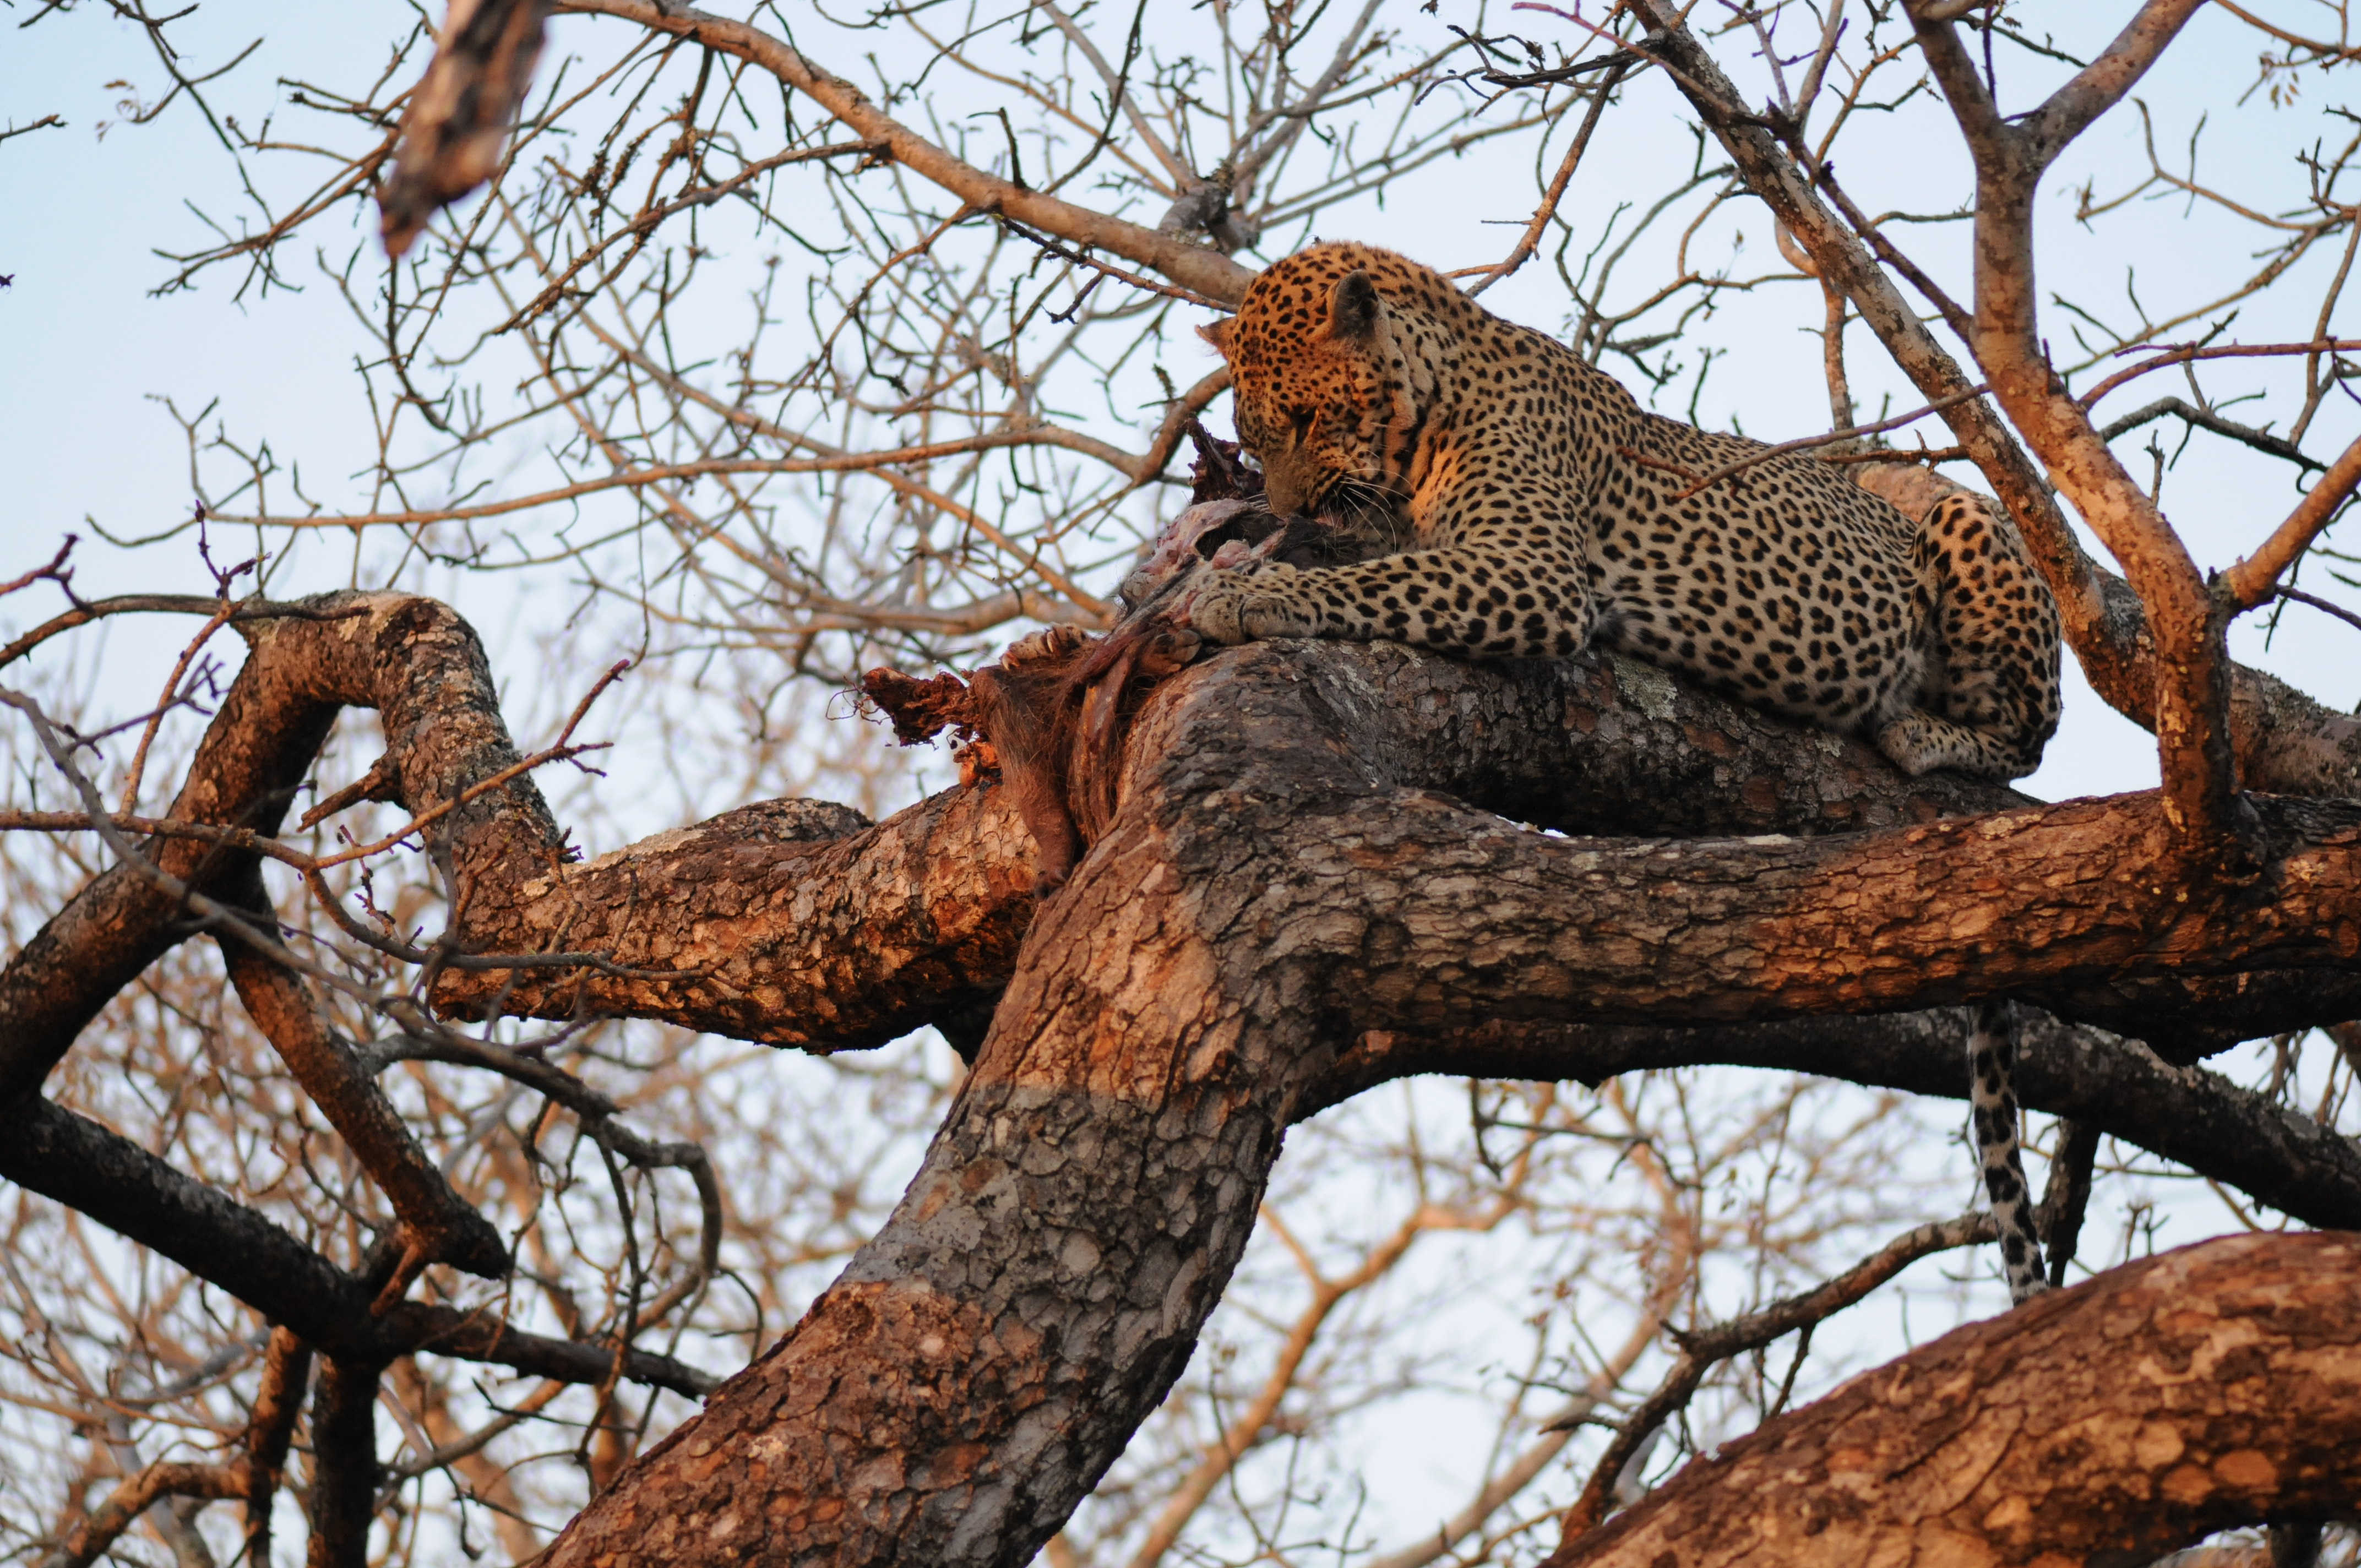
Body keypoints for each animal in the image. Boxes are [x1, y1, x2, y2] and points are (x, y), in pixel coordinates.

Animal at [1186, 241, 2063, 1302]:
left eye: (1309, 420)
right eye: (1252, 435)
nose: (1285, 509)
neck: (1432, 397)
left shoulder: (1529, 572)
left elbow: (1376, 584)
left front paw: (1254, 591)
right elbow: (1382, 563)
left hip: (1965, 520)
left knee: (2029, 730)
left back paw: (1919, 731)